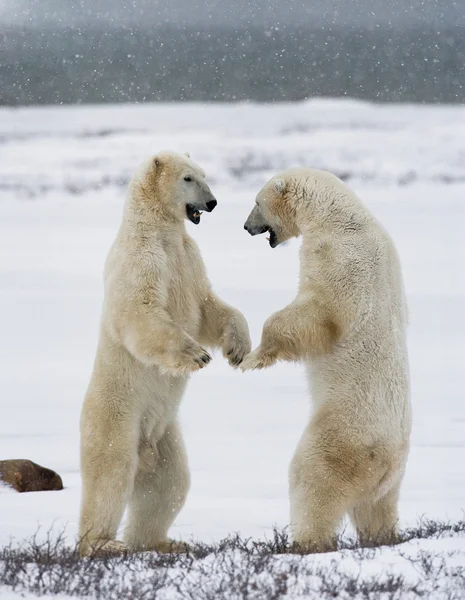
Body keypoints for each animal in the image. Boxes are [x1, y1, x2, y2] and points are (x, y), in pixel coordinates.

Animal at [79, 150, 250, 556]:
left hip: (165, 433)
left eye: (204, 174)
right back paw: (103, 543)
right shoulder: (142, 258)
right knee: (110, 473)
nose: (212, 202)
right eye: (188, 178)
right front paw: (196, 354)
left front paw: (238, 348)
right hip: (118, 415)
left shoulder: (188, 258)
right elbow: (138, 310)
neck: (158, 230)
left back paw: (164, 542)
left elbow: (208, 307)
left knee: (168, 483)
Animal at [241, 169, 412, 552]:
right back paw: (383, 537)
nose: (246, 227)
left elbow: (319, 311)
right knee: (377, 508)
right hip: (390, 478)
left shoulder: (341, 257)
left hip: (342, 435)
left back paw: (304, 542)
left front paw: (253, 358)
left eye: (256, 202)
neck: (338, 216)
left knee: (312, 479)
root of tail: (386, 463)